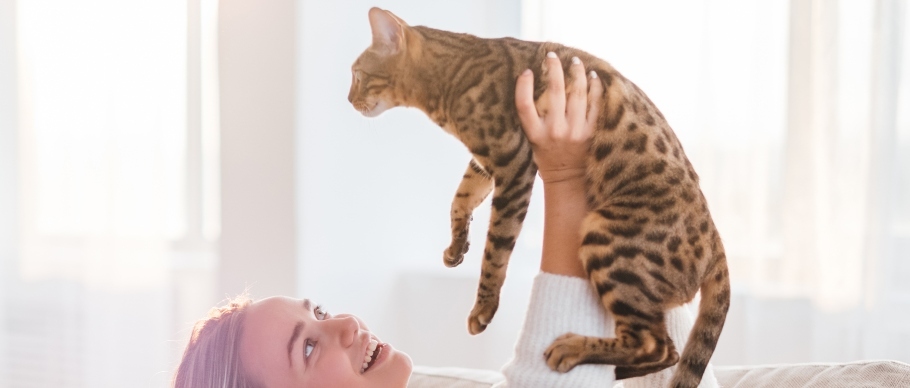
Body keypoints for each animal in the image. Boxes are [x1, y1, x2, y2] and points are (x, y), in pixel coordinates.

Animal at [350, 7, 732, 386]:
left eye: (356, 74)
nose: (350, 100)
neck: (450, 76)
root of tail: (716, 243)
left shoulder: (513, 159)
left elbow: (496, 248)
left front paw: (483, 308)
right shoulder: (487, 161)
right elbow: (460, 198)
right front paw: (456, 247)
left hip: (607, 237)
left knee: (653, 344)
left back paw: (575, 350)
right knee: (668, 351)